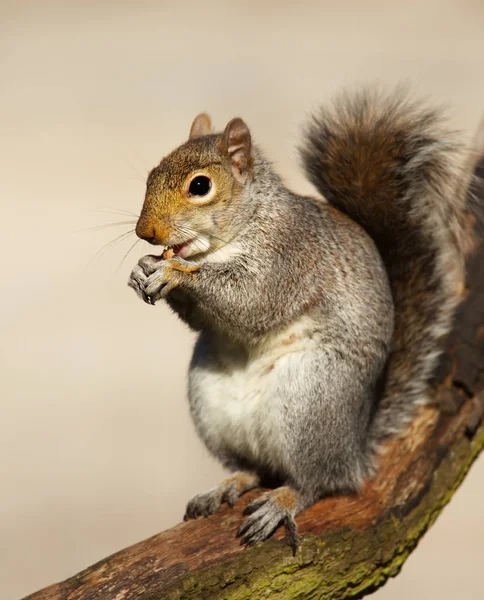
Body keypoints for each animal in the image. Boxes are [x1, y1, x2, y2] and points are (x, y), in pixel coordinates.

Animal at [126, 86, 482, 552]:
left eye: (200, 186)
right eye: (151, 174)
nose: (145, 233)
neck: (241, 228)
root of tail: (354, 449)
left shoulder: (289, 257)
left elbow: (249, 301)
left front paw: (173, 272)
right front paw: (142, 269)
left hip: (310, 398)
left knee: (320, 482)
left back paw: (283, 501)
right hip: (212, 401)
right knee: (257, 468)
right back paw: (227, 485)